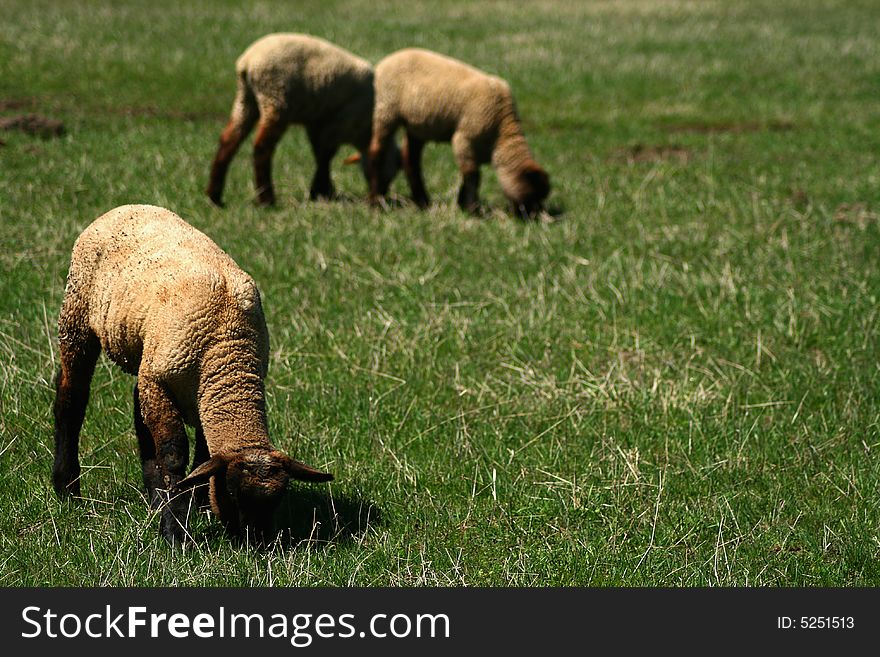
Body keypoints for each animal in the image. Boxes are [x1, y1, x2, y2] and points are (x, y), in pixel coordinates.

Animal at [52, 205, 334, 544]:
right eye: (233, 492)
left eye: (277, 500)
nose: (258, 543)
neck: (227, 349)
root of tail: (125, 207)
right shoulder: (162, 382)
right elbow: (174, 455)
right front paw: (175, 530)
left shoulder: (201, 396)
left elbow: (202, 457)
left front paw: (196, 505)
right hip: (77, 317)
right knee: (72, 399)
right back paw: (66, 488)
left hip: (145, 357)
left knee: (139, 417)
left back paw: (154, 497)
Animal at [206, 32, 398, 205]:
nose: (383, 194)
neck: (365, 133)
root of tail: (247, 62)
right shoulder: (340, 122)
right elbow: (326, 155)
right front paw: (320, 190)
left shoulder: (316, 124)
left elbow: (319, 154)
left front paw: (324, 192)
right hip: (276, 99)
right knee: (262, 147)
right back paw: (266, 199)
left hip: (246, 101)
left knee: (228, 140)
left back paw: (214, 196)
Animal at [364, 47, 552, 220]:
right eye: (533, 194)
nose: (534, 217)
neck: (500, 132)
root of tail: (385, 61)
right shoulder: (464, 139)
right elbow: (472, 176)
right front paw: (472, 210)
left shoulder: (471, 149)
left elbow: (467, 175)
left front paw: (463, 205)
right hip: (385, 110)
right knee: (376, 152)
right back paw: (375, 201)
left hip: (416, 126)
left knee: (411, 160)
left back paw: (422, 202)